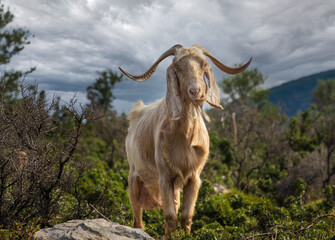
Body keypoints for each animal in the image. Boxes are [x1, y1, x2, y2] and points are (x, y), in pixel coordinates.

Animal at [119, 43, 252, 238]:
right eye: (177, 66)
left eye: (204, 64)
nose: (196, 91)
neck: (184, 139)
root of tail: (136, 112)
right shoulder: (164, 177)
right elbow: (170, 218)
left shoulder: (194, 178)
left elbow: (185, 217)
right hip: (134, 178)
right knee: (138, 220)